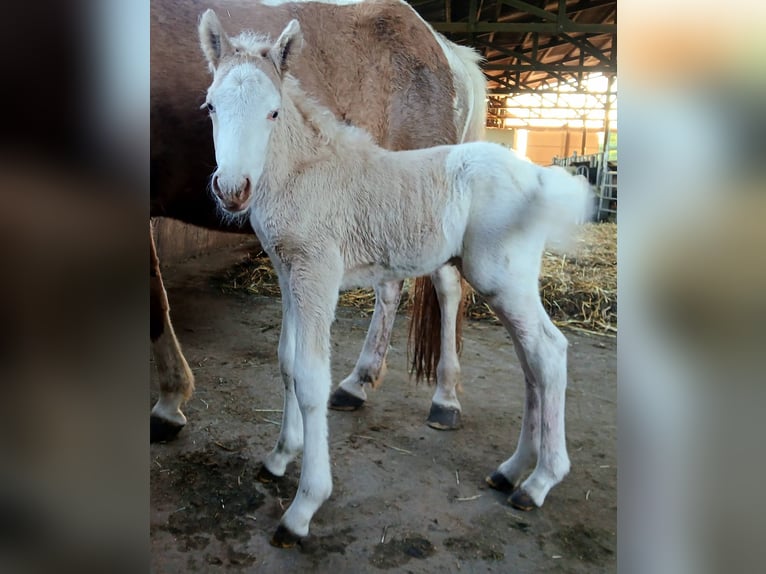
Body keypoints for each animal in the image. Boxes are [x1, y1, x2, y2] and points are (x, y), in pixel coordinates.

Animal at [150, 0, 487, 441]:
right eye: (210, 106)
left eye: (275, 112)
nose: (232, 188)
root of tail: (446, 49)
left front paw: (169, 402)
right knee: (391, 286)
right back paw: (357, 384)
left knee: (447, 287)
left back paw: (445, 399)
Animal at [198, 12, 591, 545]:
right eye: (211, 107)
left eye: (273, 113)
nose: (232, 189)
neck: (305, 173)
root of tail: (536, 178)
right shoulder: (288, 274)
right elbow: (285, 362)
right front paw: (280, 457)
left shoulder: (318, 273)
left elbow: (311, 377)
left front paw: (304, 507)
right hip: (504, 286)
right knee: (531, 361)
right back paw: (511, 471)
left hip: (502, 279)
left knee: (548, 354)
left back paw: (539, 482)